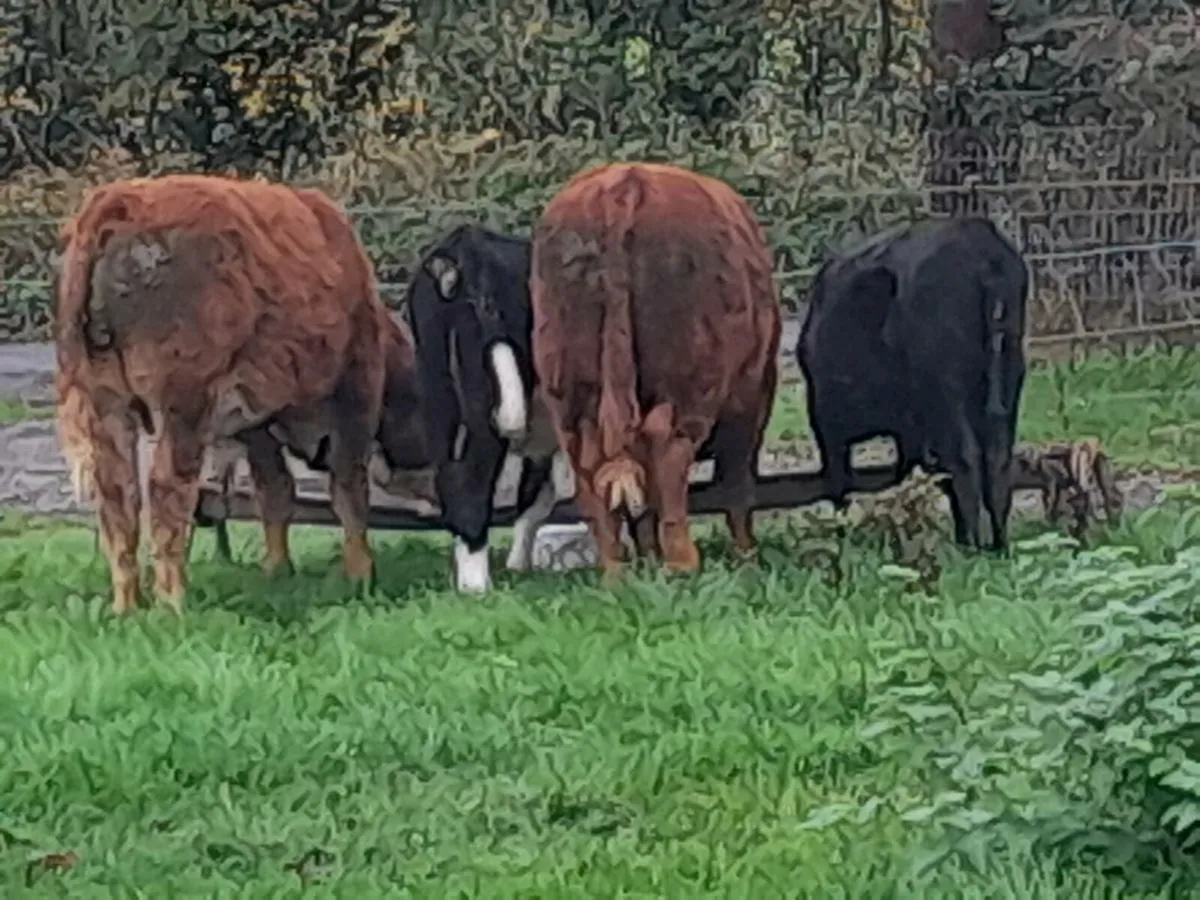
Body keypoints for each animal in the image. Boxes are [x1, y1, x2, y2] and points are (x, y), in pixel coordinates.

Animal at [54, 173, 418, 613]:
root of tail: (119, 203)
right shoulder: (355, 392)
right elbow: (349, 489)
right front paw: (361, 574)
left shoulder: (256, 423)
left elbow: (275, 491)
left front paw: (277, 571)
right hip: (183, 402)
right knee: (165, 487)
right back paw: (173, 602)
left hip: (106, 401)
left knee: (117, 495)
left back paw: (128, 606)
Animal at [404, 223, 568, 592]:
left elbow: (533, 500)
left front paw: (519, 566)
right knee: (471, 478)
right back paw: (477, 585)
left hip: (439, 391)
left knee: (450, 475)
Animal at [530, 162, 782, 579]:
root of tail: (623, 183)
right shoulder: (751, 401)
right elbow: (736, 480)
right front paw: (746, 554)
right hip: (691, 381)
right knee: (668, 450)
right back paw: (682, 562)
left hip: (566, 389)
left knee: (591, 469)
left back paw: (617, 571)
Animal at [796, 215, 1029, 551]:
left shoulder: (827, 420)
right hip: (1009, 377)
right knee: (997, 460)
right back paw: (998, 545)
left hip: (947, 390)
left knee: (965, 459)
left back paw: (970, 545)